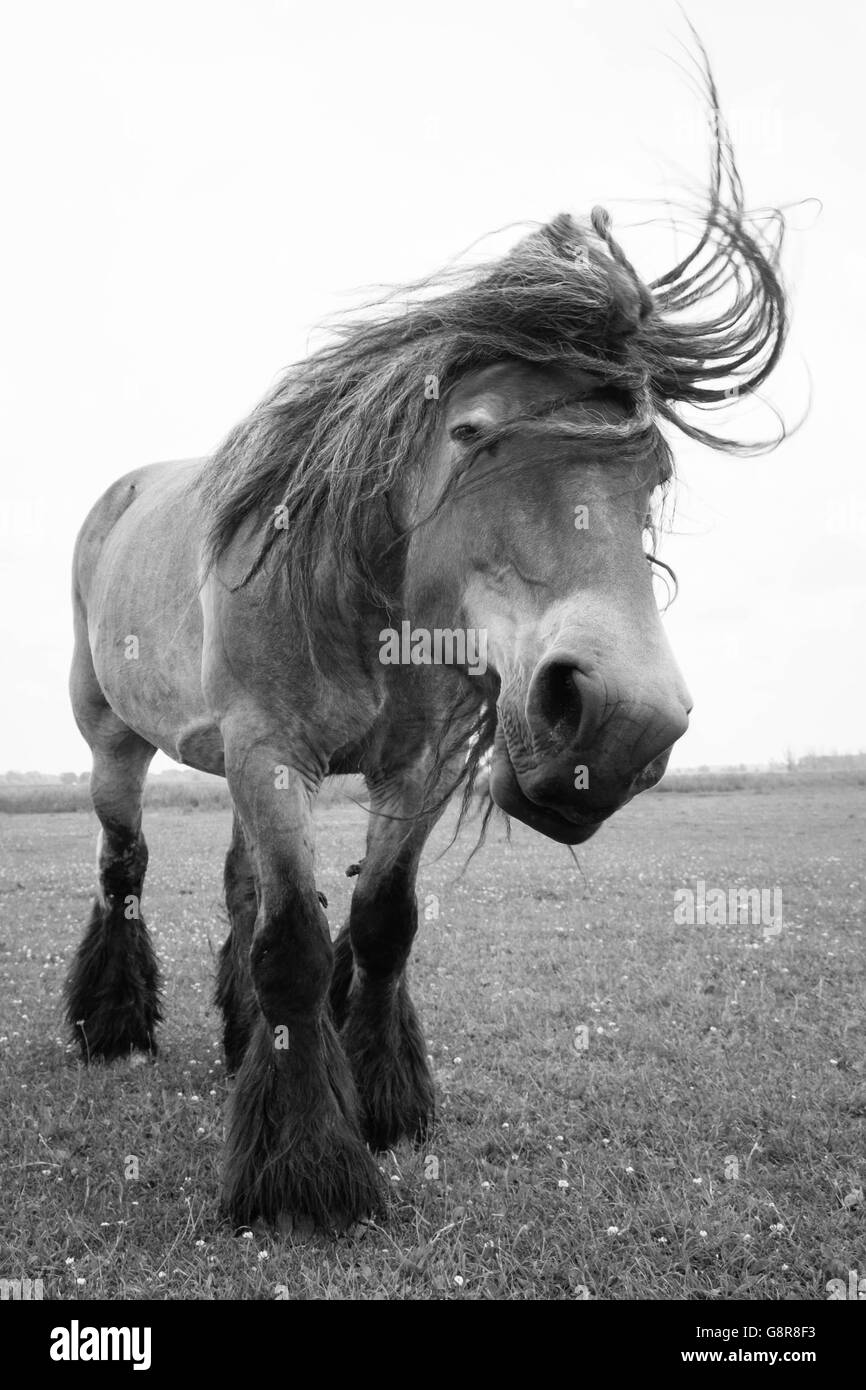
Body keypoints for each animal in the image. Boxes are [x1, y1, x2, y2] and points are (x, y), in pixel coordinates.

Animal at [65, 68, 787, 1230]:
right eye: (473, 433)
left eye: (654, 473)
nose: (623, 723)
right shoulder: (272, 751)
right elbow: (295, 942)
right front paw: (305, 1169)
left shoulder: (419, 766)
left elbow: (380, 922)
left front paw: (384, 1098)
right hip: (113, 741)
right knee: (124, 865)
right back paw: (114, 1022)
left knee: (235, 881)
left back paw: (236, 1037)